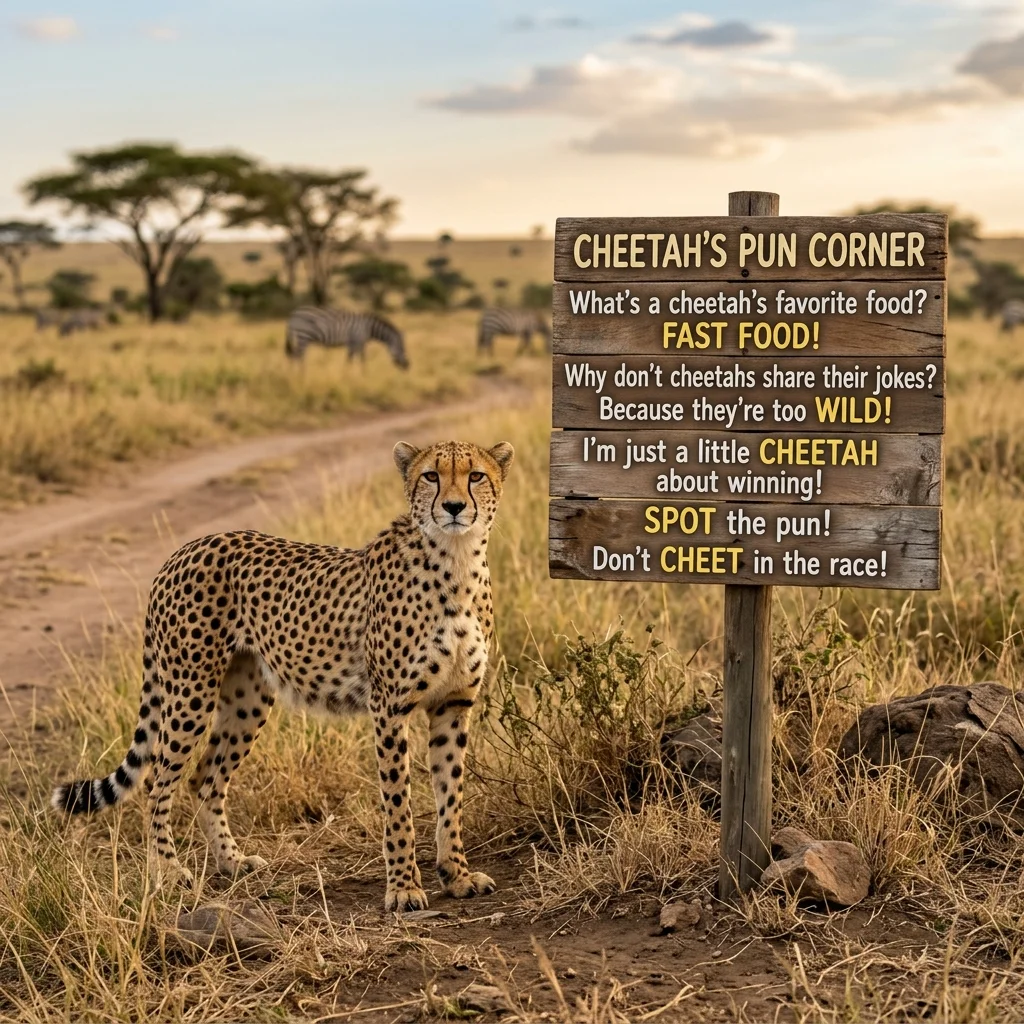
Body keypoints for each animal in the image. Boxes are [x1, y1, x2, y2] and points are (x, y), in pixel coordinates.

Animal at [52, 439, 514, 912]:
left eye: (476, 476)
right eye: (431, 476)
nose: (454, 507)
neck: (457, 560)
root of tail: (185, 549)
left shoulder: (453, 704)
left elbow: (450, 796)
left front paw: (456, 875)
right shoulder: (389, 706)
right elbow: (398, 801)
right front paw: (403, 887)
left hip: (247, 702)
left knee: (205, 778)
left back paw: (231, 861)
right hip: (189, 692)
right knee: (156, 783)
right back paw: (167, 872)